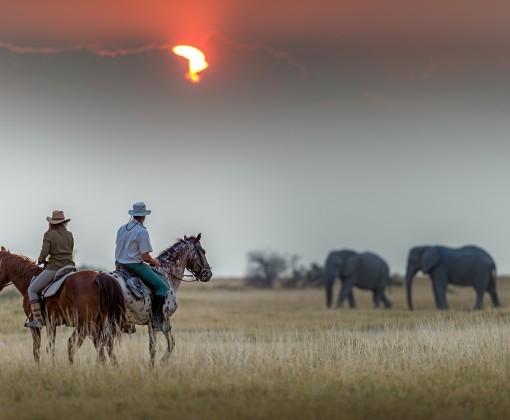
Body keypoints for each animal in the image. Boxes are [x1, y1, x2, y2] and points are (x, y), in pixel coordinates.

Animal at [112, 235, 212, 366]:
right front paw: (160, 363)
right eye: (203, 251)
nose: (208, 273)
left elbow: (153, 347)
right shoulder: (163, 320)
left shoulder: (152, 323)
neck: (167, 274)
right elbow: (168, 344)